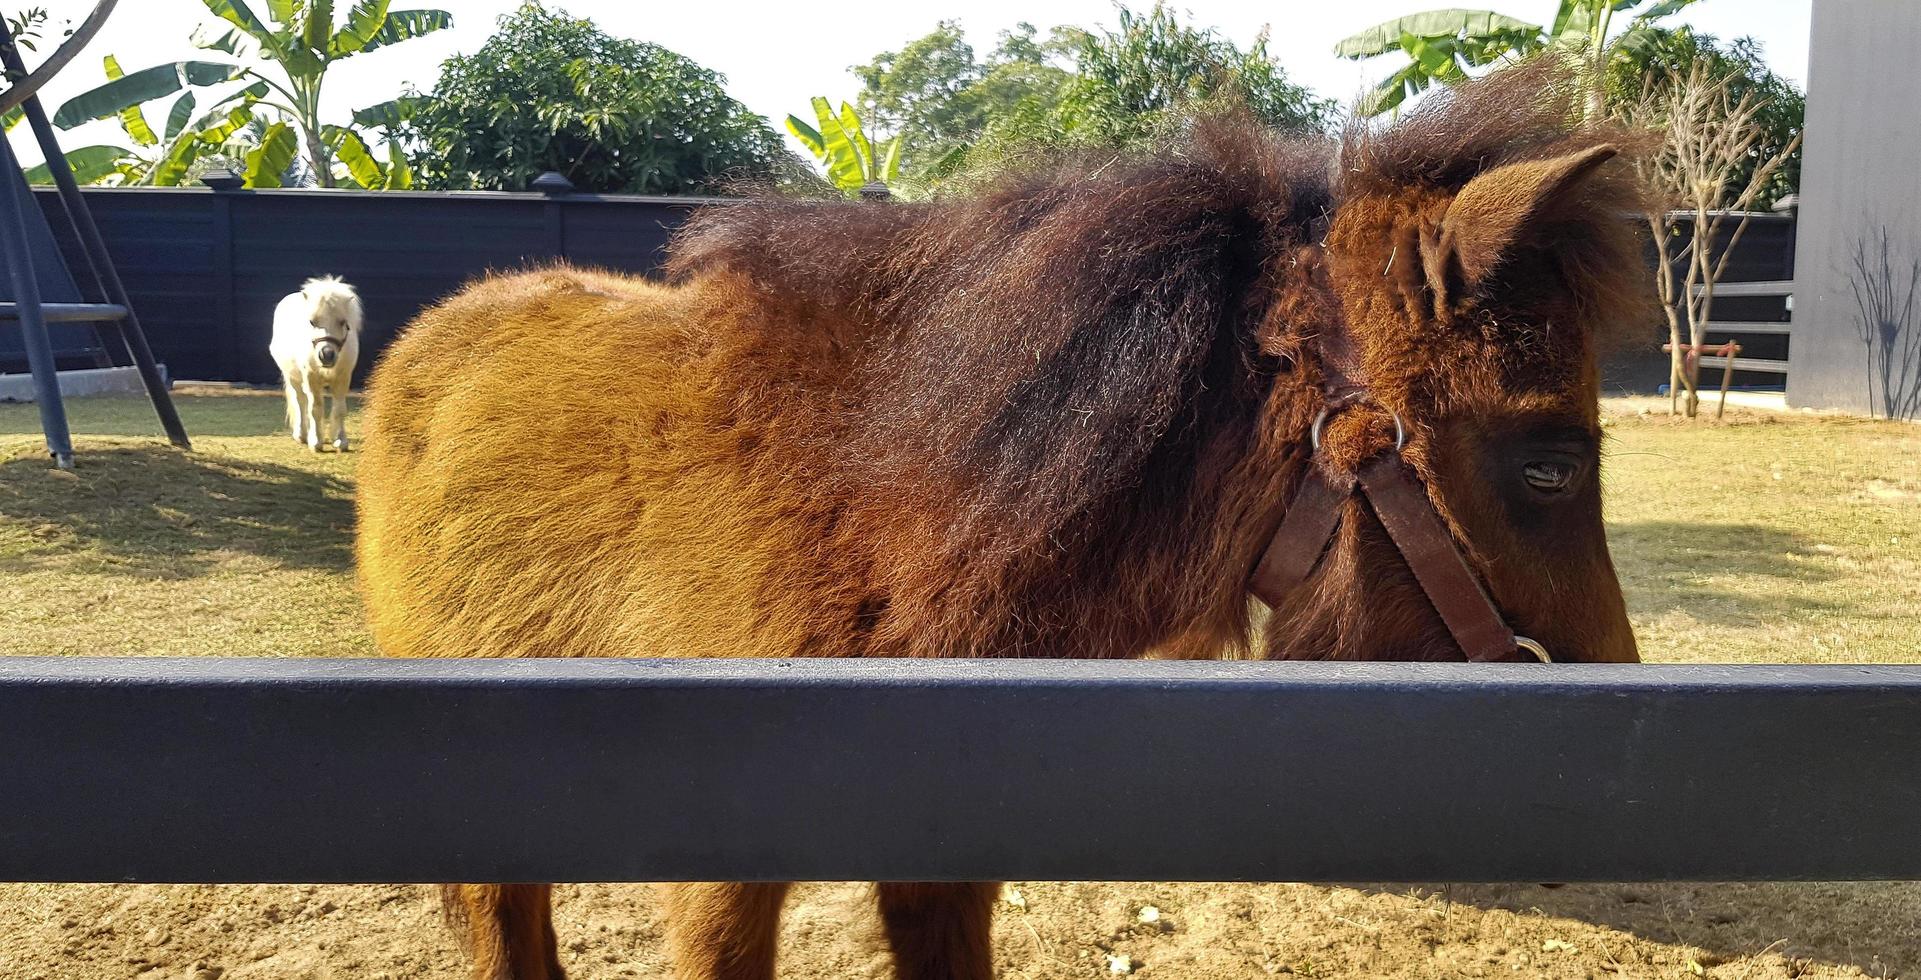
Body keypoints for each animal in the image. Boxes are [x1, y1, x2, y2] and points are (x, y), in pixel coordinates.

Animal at [268, 274, 361, 451]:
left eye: (343, 322)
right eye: (312, 322)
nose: (327, 355)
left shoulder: (343, 378)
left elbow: (340, 409)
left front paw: (340, 440)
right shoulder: (311, 378)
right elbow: (315, 408)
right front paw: (316, 442)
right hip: (293, 377)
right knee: (301, 401)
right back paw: (302, 435)